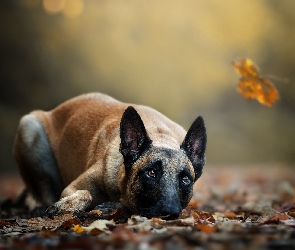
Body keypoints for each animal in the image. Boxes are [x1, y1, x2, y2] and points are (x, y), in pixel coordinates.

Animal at [13, 92, 207, 219]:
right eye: (151, 173)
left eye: (185, 179)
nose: (171, 212)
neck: (161, 135)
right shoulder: (71, 188)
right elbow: (86, 194)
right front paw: (64, 206)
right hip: (30, 128)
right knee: (42, 190)